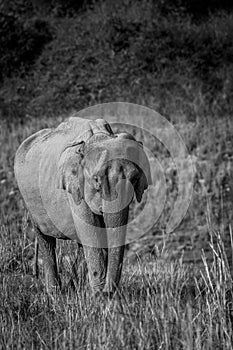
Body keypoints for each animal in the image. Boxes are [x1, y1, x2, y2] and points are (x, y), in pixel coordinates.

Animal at [14, 117, 152, 296]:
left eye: (134, 179)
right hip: (30, 201)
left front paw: (97, 293)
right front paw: (98, 295)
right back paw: (54, 293)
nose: (109, 292)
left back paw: (73, 287)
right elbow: (90, 231)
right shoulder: (74, 188)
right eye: (96, 180)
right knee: (46, 240)